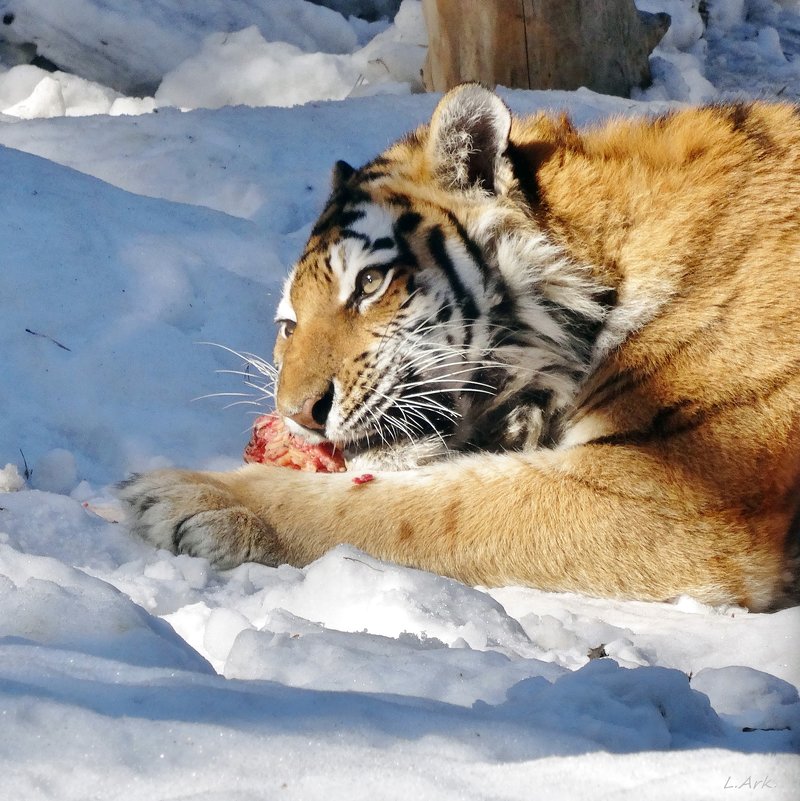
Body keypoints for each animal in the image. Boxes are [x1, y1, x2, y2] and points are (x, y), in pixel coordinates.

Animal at [119, 84, 800, 608]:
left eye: (369, 283)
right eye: (289, 323)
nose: (297, 417)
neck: (607, 270)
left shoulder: (676, 490)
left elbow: (414, 509)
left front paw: (185, 496)